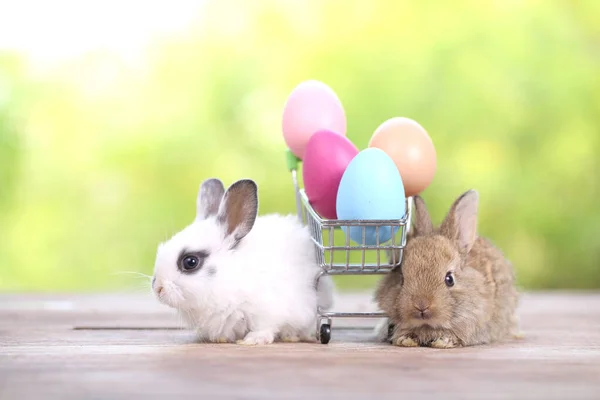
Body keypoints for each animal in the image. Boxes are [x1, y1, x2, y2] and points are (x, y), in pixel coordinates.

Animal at [152, 177, 336, 344]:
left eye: (190, 262)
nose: (157, 288)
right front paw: (220, 339)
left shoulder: (268, 310)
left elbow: (265, 326)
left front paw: (254, 340)